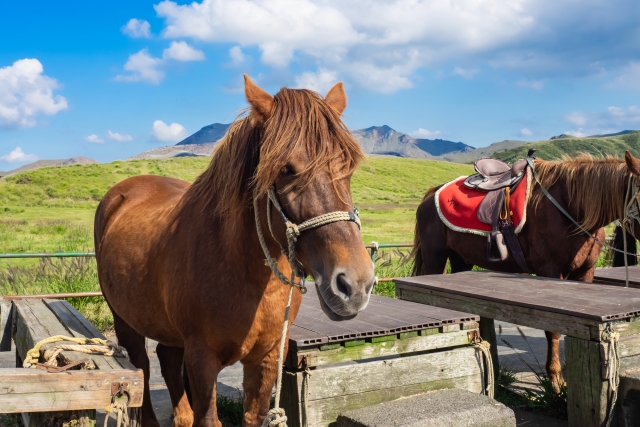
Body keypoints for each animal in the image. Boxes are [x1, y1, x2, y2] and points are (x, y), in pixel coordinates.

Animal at [94, 77, 376, 427]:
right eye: (285, 169)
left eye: (347, 167)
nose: (355, 284)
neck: (244, 274)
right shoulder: (202, 360)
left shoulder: (266, 356)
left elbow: (253, 415)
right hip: (125, 319)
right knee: (142, 370)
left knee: (166, 359)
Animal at [412, 153, 640, 388]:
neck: (571, 208)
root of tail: (431, 194)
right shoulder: (550, 271)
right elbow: (553, 330)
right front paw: (555, 379)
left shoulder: (585, 273)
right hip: (434, 259)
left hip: (461, 260)